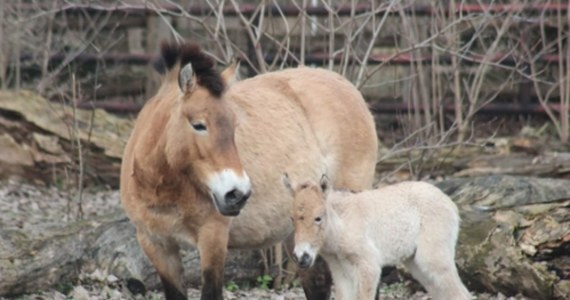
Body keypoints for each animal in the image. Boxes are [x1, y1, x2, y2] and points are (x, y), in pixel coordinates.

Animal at [120, 40, 378, 300]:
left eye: (234, 124)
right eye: (198, 125)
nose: (237, 194)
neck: (162, 186)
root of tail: (350, 89)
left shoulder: (212, 239)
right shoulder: (156, 245)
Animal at [282, 175, 468, 298]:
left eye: (318, 218)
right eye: (291, 218)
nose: (301, 257)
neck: (341, 225)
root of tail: (450, 202)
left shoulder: (368, 265)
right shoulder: (340, 270)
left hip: (432, 257)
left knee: (460, 293)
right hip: (415, 262)